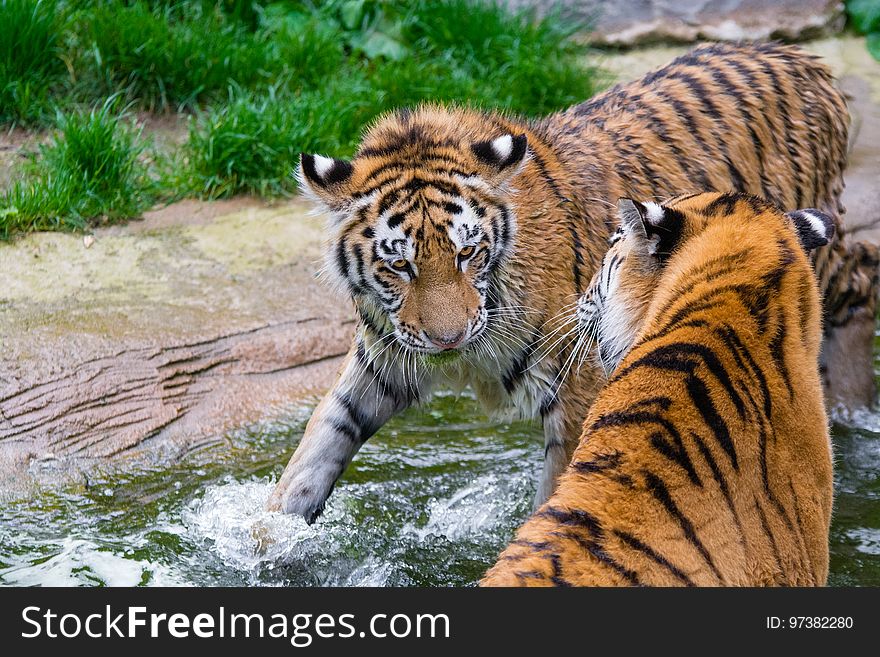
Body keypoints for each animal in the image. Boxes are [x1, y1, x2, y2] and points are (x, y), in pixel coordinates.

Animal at [264, 41, 868, 524]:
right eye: (399, 266)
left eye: (467, 253)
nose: (448, 339)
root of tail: (804, 59)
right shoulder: (384, 359)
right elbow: (319, 443)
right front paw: (269, 540)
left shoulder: (581, 387)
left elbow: (563, 490)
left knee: (860, 285)